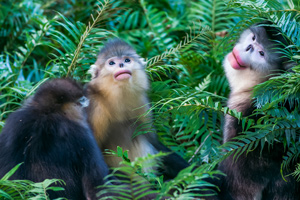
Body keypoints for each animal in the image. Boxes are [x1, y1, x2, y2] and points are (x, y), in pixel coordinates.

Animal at [85, 39, 189, 180]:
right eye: (111, 63)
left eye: (127, 60)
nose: (121, 64)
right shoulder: (94, 106)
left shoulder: (141, 102)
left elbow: (153, 141)